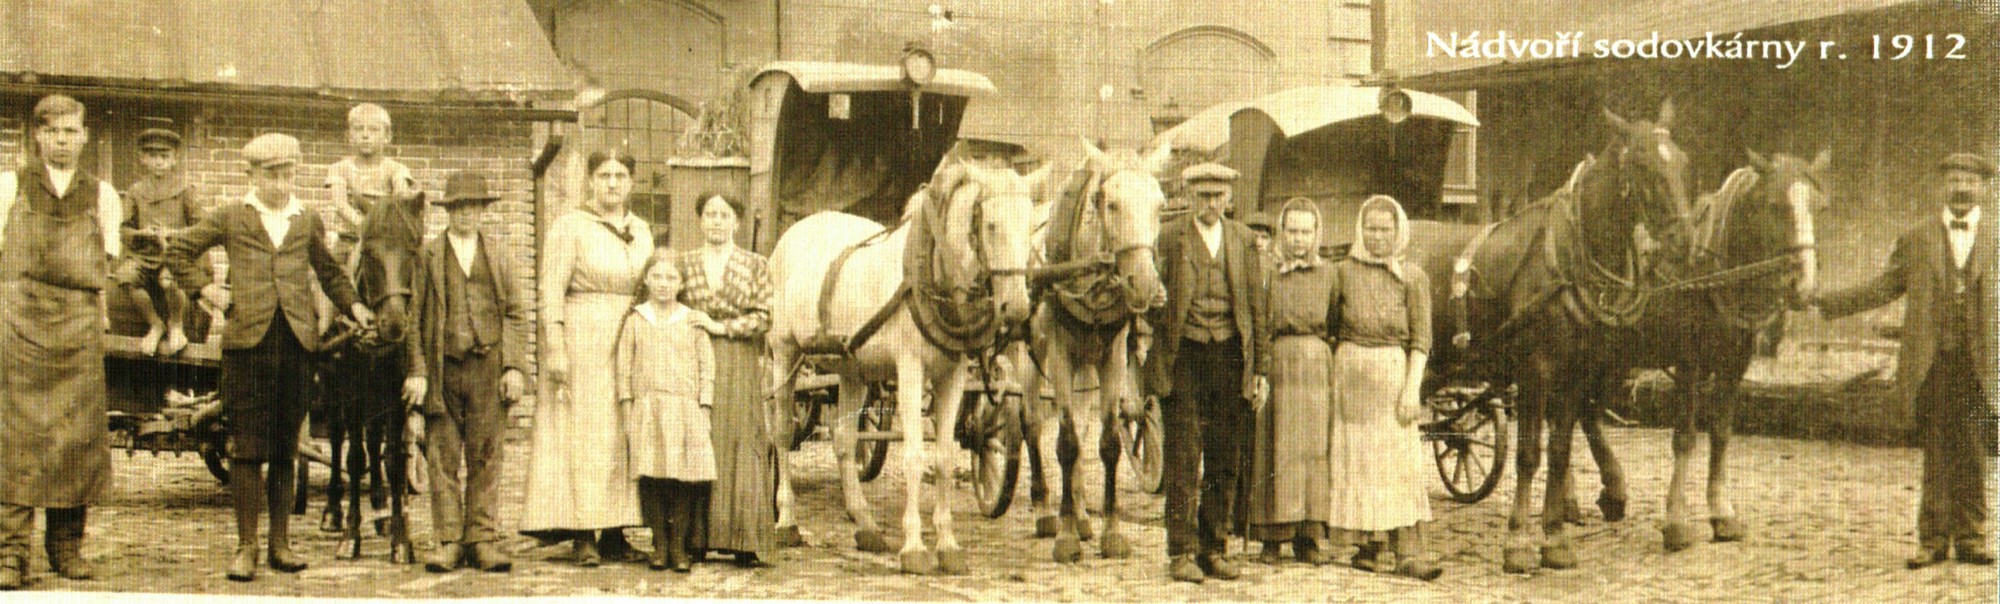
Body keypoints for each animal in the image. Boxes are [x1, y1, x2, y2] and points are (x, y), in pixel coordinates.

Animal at [318, 191, 428, 563]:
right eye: (367, 252)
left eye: (413, 248)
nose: (393, 324)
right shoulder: (351, 394)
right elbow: (354, 459)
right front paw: (350, 537)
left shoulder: (398, 394)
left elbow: (394, 459)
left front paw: (401, 539)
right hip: (333, 391)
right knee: (339, 440)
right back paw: (333, 513)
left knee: (376, 438)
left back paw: (381, 511)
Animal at [767, 158, 1039, 574]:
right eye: (991, 225)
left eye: (1029, 226)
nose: (1018, 308)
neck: (930, 275)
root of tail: (797, 228)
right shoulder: (910, 369)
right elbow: (913, 455)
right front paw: (914, 548)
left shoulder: (952, 375)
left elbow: (943, 459)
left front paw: (948, 545)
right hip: (784, 354)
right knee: (782, 434)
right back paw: (787, 520)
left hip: (850, 368)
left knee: (843, 440)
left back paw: (864, 524)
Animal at [1007, 141, 1169, 563]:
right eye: (1110, 203)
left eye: (1160, 204)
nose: (1145, 284)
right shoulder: (1061, 354)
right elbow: (1065, 445)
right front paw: (1064, 537)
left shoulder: (1112, 356)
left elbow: (1107, 444)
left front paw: (1111, 532)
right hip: (1030, 355)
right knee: (1032, 424)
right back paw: (1046, 511)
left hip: (1085, 366)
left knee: (1079, 425)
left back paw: (1080, 515)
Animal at [1412, 99, 1694, 573]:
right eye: (1640, 164)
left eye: (1682, 161)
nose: (1684, 242)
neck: (1565, 261)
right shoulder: (1535, 372)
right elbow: (1529, 455)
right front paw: (1518, 542)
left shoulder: (1576, 372)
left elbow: (1560, 452)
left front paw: (1555, 538)